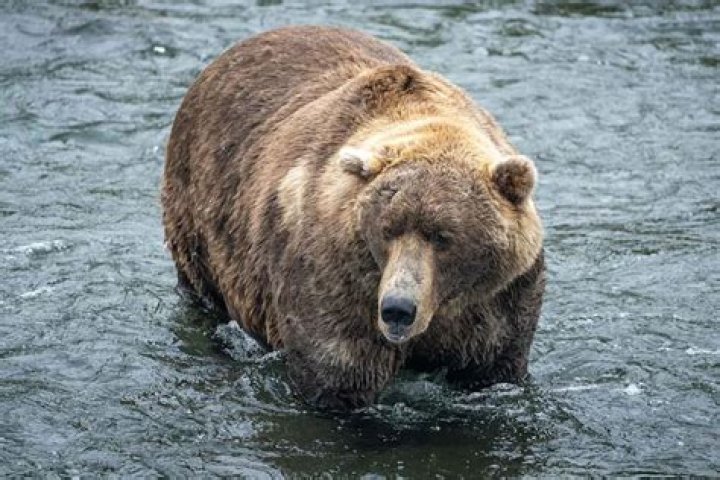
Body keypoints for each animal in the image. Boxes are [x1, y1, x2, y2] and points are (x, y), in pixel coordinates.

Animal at [162, 25, 545, 410]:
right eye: (387, 230)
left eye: (443, 236)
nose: (397, 308)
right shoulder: (336, 280)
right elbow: (338, 374)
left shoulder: (498, 297)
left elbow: (493, 367)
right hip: (198, 212)